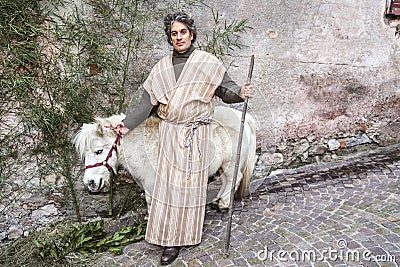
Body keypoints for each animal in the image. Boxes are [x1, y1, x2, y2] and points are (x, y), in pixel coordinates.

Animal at [74, 105, 256, 210]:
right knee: (226, 181)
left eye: (98, 151)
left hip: (231, 163)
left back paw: (224, 203)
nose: (90, 183)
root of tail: (242, 117)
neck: (142, 146)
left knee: (234, 178)